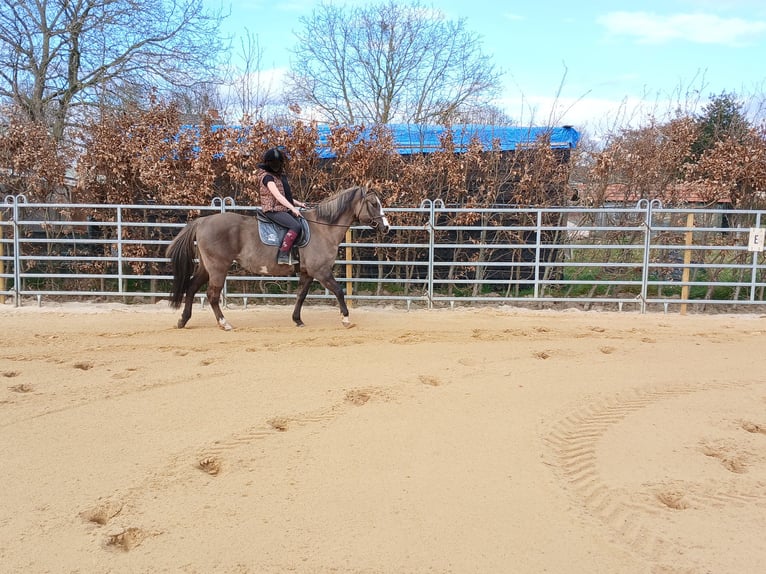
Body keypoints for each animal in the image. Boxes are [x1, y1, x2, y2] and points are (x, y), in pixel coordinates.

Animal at [166, 185, 390, 330]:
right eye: (373, 203)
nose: (386, 227)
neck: (323, 228)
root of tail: (202, 221)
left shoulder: (307, 273)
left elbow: (301, 295)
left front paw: (297, 319)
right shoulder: (321, 271)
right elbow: (339, 291)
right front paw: (345, 319)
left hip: (206, 267)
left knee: (191, 288)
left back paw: (183, 320)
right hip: (218, 268)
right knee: (212, 295)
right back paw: (224, 323)